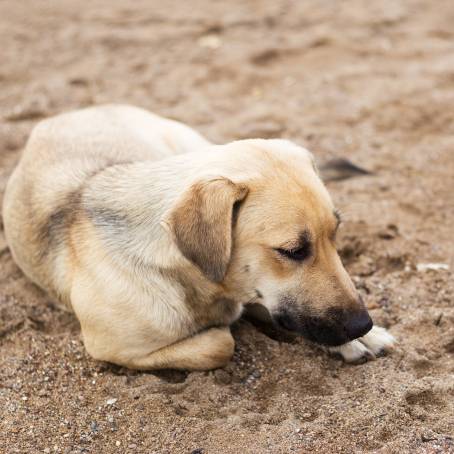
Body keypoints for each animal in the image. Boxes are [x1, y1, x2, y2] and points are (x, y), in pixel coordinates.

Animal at [1, 105, 396, 368]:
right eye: (293, 250)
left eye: (335, 234)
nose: (362, 324)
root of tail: (72, 112)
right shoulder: (112, 347)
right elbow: (222, 342)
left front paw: (364, 338)